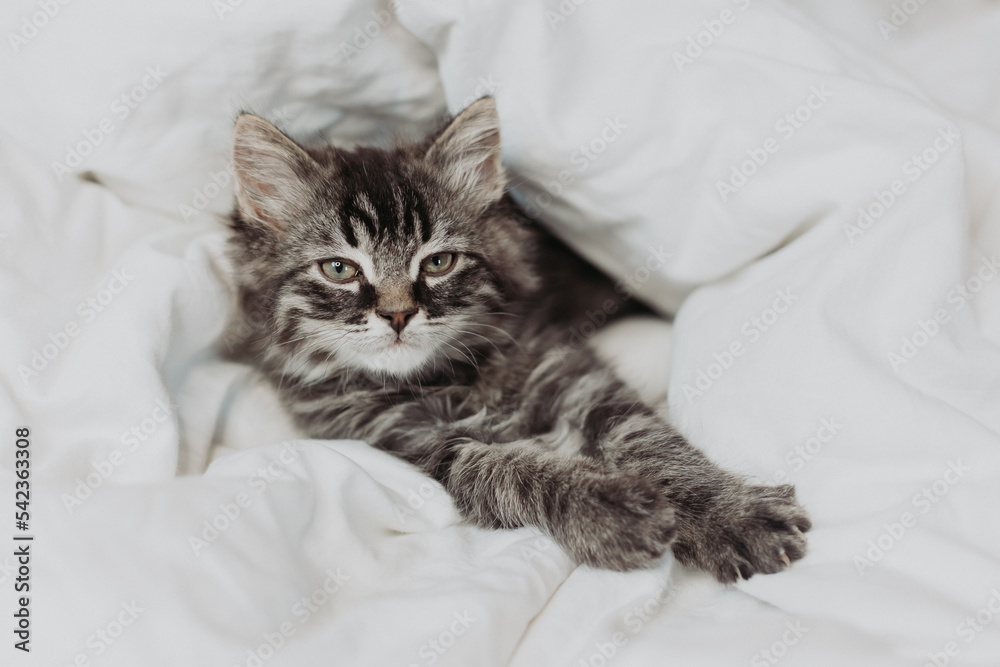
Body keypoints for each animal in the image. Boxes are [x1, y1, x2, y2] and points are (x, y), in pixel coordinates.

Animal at [223, 96, 808, 580]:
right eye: (339, 269)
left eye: (438, 262)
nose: (398, 315)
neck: (448, 377)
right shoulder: (412, 445)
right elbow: (509, 469)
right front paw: (609, 511)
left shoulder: (574, 373)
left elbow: (650, 441)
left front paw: (731, 515)